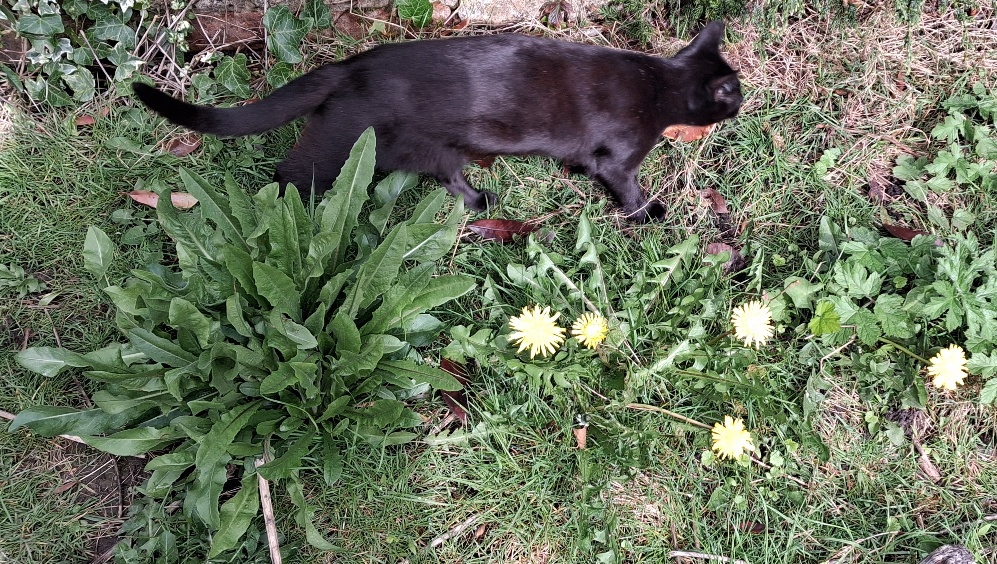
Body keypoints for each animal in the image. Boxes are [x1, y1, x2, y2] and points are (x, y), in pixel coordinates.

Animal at [133, 21, 742, 221]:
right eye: (731, 91)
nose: (746, 100)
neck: (659, 83)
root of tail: (349, 66)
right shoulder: (619, 157)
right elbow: (627, 186)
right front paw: (649, 213)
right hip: (343, 143)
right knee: (290, 172)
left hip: (428, 148)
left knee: (447, 177)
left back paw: (480, 200)